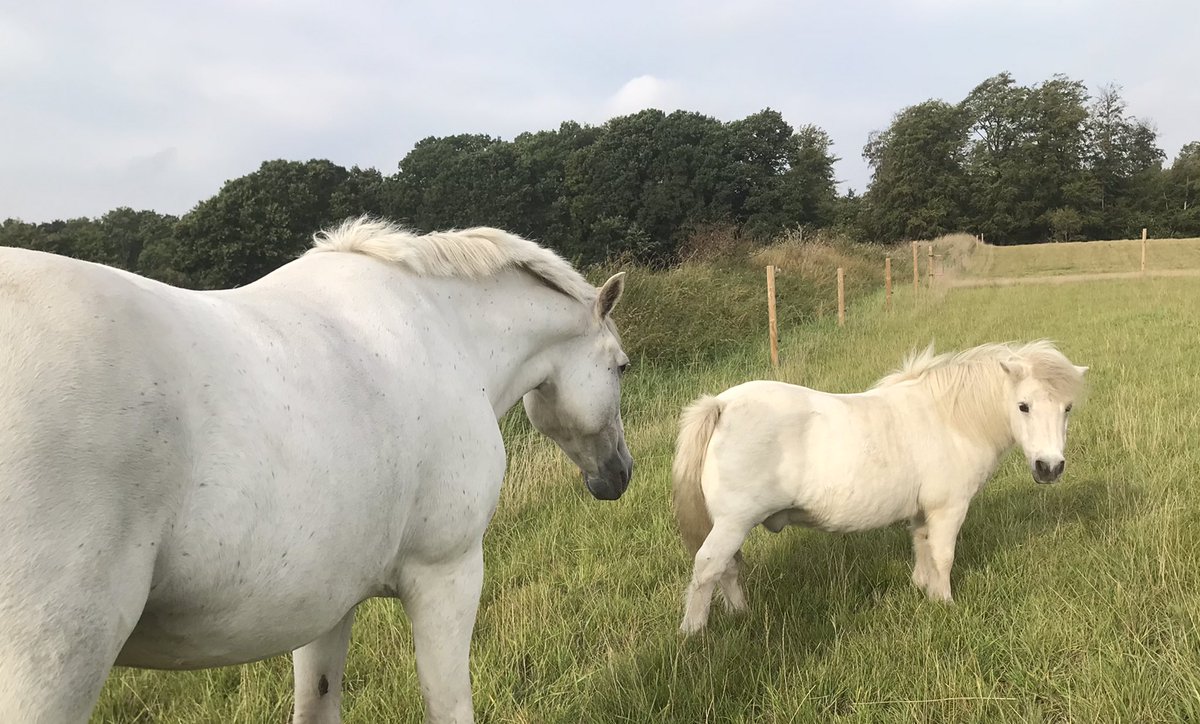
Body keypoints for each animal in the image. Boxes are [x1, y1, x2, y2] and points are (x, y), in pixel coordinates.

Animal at [0, 217, 633, 723]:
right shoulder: (447, 574)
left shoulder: (328, 602)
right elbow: (449, 707)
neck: (443, 332)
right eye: (622, 367)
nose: (619, 475)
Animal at [671, 340, 1087, 634]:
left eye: (1067, 408)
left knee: (727, 569)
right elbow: (943, 556)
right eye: (1023, 406)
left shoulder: (922, 512)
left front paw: (925, 592)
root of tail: (722, 405)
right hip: (733, 523)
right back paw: (693, 633)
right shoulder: (949, 508)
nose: (1049, 467)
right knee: (708, 567)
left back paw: (741, 615)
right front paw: (946, 604)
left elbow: (922, 549)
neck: (950, 418)